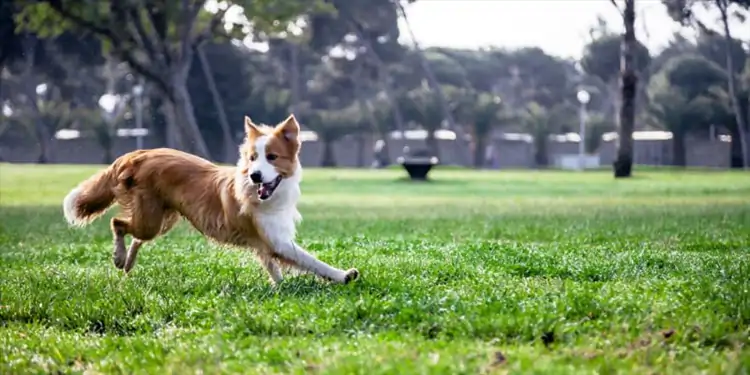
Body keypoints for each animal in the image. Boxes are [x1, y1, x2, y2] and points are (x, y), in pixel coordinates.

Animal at [61, 114, 362, 284]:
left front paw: (280, 287)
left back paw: (127, 263)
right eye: (252, 158)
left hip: (161, 219)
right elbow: (310, 261)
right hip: (151, 218)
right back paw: (118, 257)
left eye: (272, 157)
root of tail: (137, 154)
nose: (255, 175)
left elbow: (272, 265)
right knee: (117, 223)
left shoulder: (265, 241)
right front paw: (342, 276)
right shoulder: (274, 240)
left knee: (134, 234)